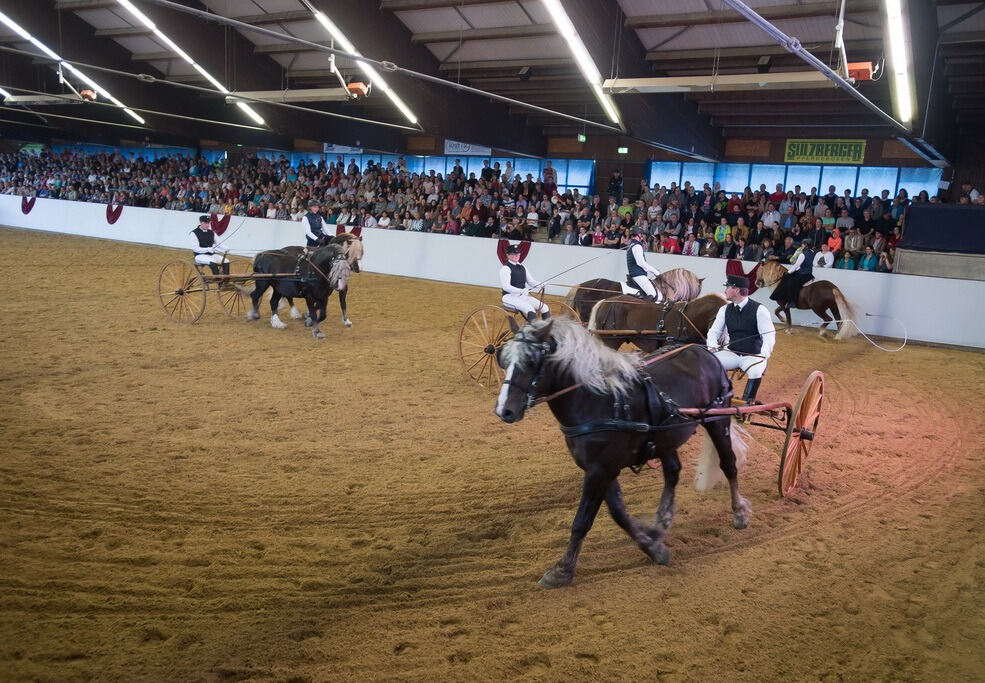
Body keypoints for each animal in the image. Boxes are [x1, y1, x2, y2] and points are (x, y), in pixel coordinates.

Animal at [496, 318, 748, 592]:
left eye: (532, 361)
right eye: (504, 359)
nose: (503, 411)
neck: (598, 400)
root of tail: (706, 352)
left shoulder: (600, 470)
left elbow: (582, 521)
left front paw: (561, 570)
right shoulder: (601, 469)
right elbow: (619, 514)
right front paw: (652, 546)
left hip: (718, 420)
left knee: (729, 464)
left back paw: (739, 513)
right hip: (666, 437)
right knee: (672, 472)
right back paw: (661, 522)